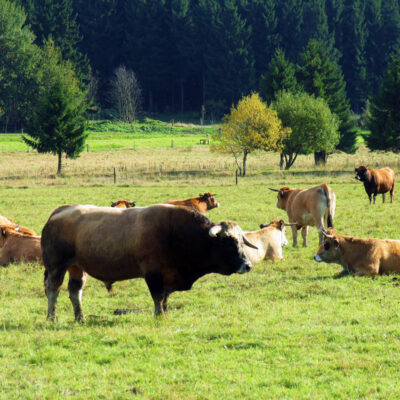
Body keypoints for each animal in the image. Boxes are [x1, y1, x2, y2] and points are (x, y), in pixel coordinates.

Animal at [42, 203, 258, 322]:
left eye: (241, 240)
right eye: (228, 242)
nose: (247, 265)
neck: (178, 233)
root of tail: (60, 211)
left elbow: (165, 298)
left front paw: (165, 314)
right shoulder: (153, 274)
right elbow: (158, 296)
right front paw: (159, 316)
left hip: (77, 268)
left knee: (74, 291)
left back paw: (80, 317)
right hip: (56, 266)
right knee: (53, 290)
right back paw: (52, 317)